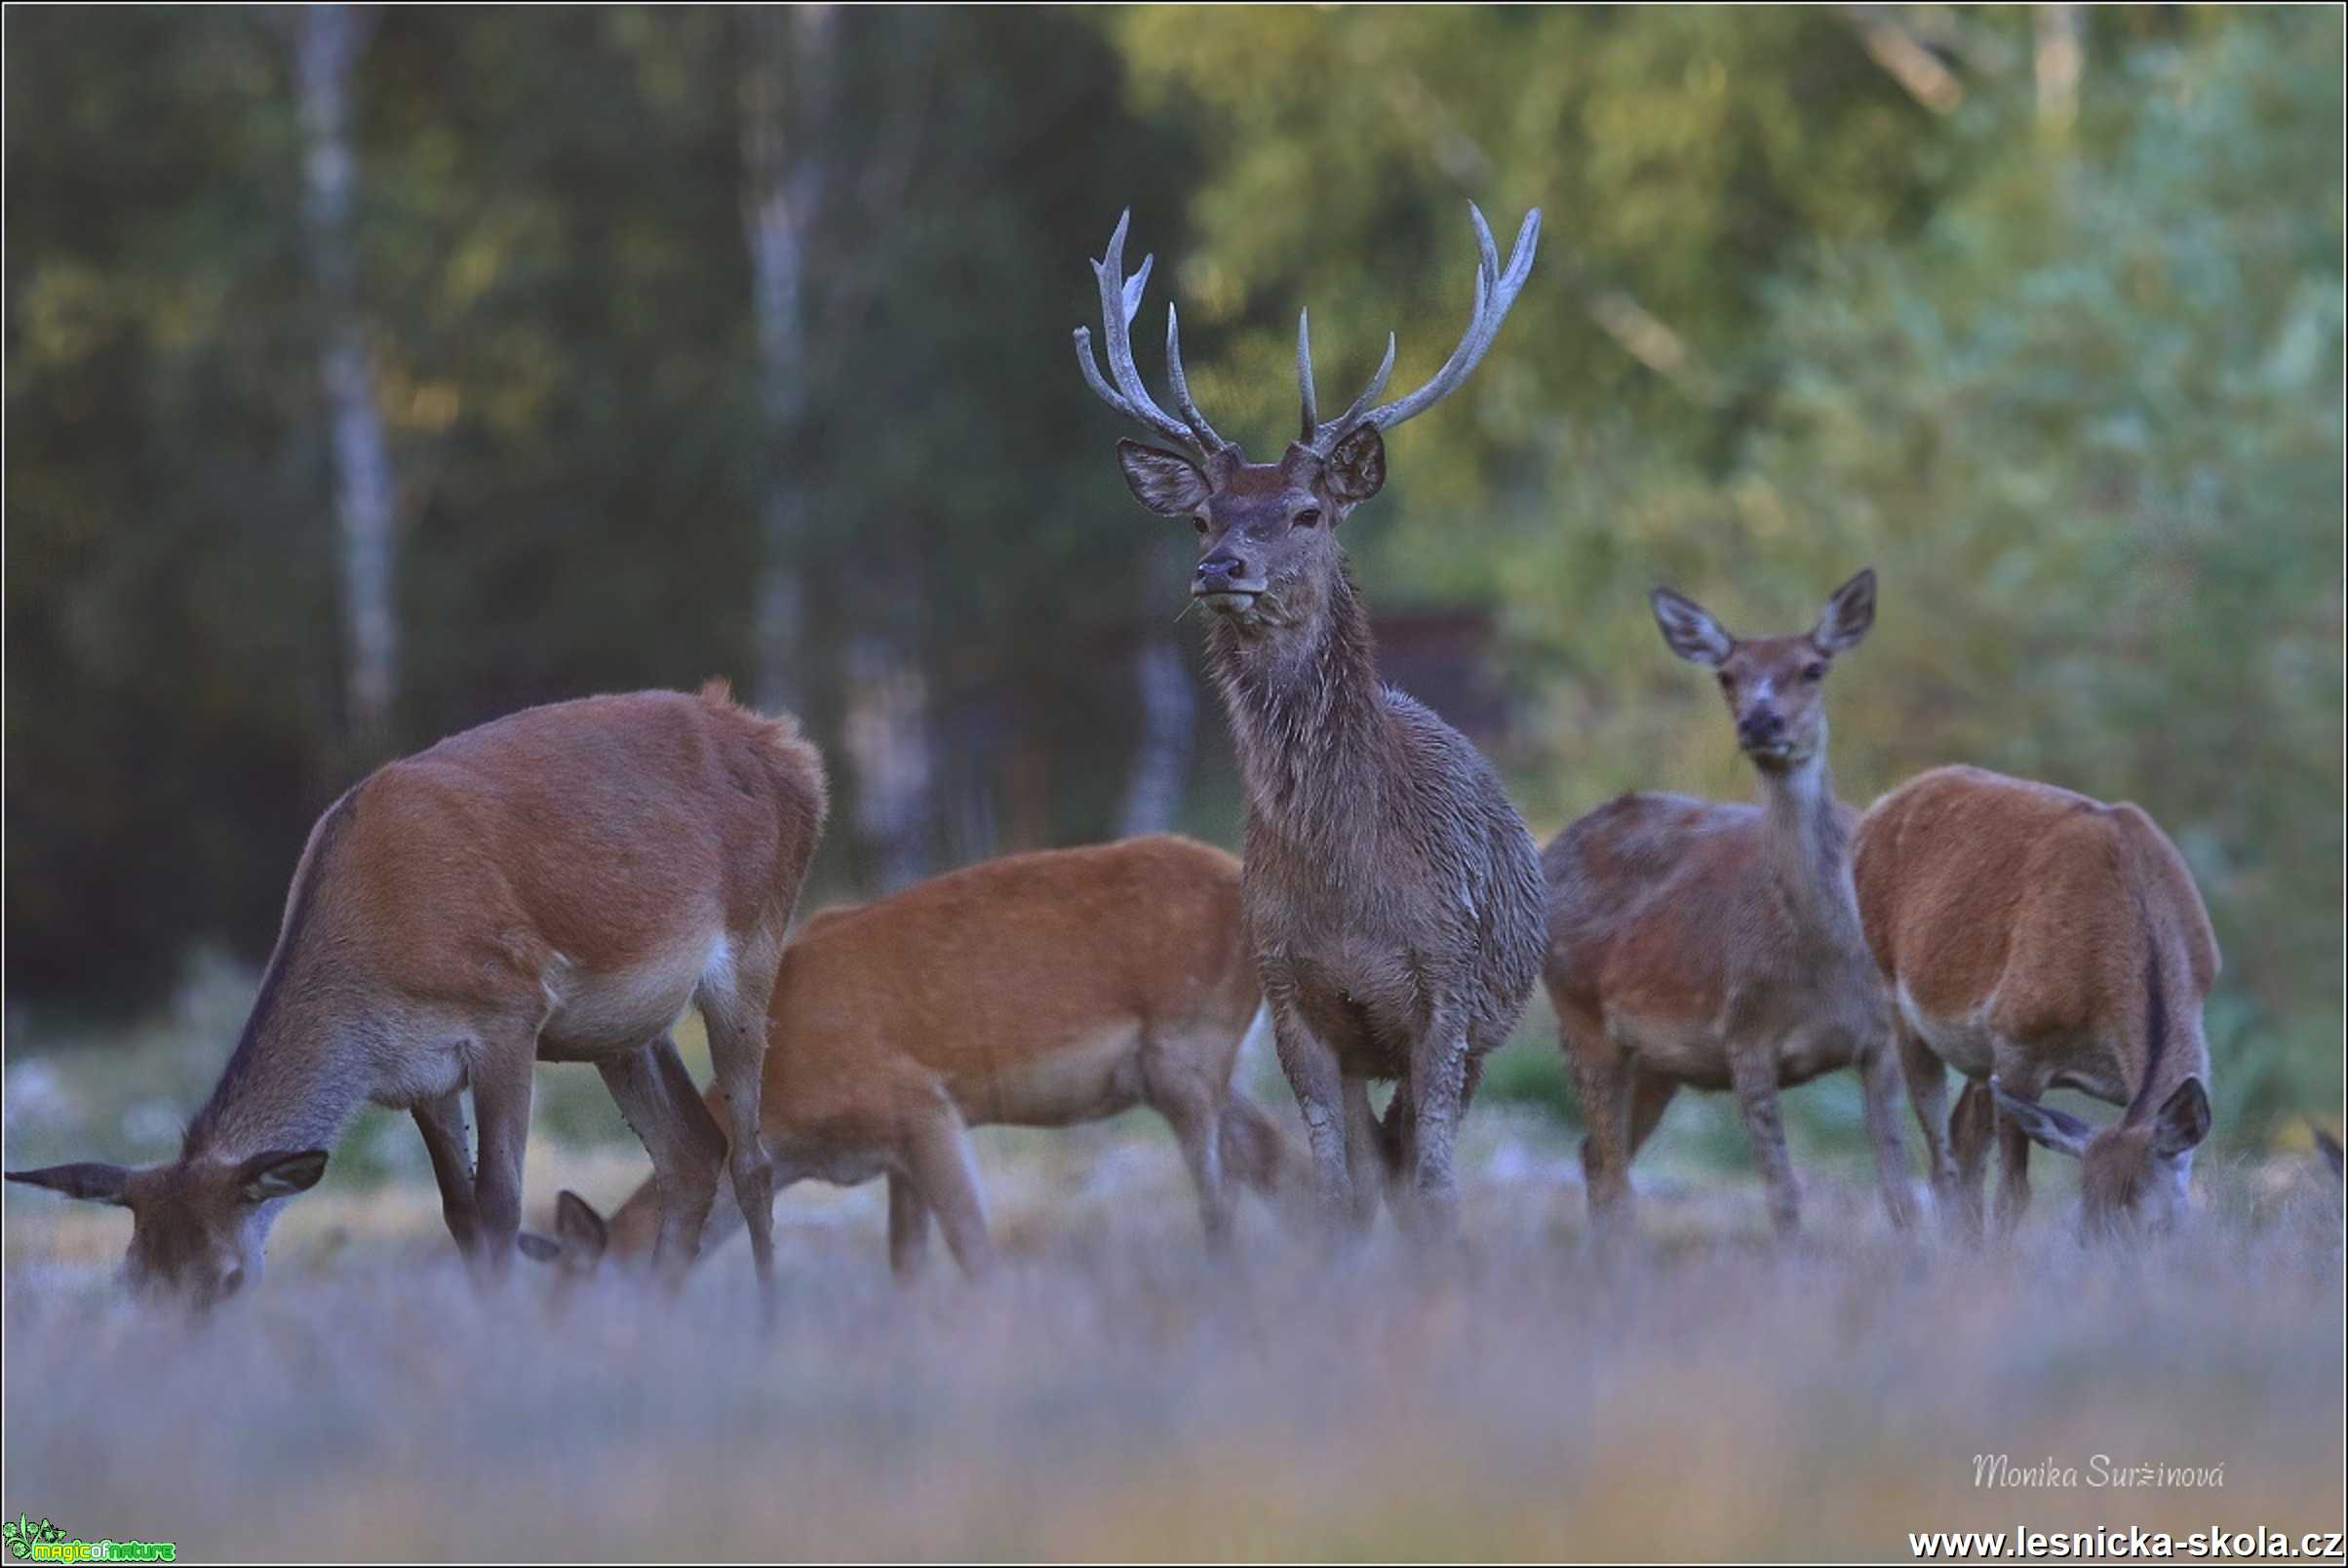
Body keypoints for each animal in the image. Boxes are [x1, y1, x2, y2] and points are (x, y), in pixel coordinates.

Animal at [4, 685, 826, 1314]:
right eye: (131, 1280)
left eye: (229, 1280)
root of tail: (795, 753)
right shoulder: (419, 1074)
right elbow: (459, 1216)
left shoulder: (508, 1014)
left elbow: (500, 1203)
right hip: (621, 1032)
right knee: (691, 1150)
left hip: (754, 941)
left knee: (752, 1159)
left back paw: (769, 1316)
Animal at [1075, 202, 1549, 1230]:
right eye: (1203, 516)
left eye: (1305, 512)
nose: (1220, 569)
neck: (1350, 897)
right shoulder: (1291, 994)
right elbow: (1338, 1189)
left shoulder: (1447, 988)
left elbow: (1436, 1183)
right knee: (1377, 1165)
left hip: (1489, 1023)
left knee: (1415, 1160)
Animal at [1549, 566, 1915, 1238]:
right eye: (1727, 675)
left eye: (1813, 667)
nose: (1761, 723)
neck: (1829, 969)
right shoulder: (1744, 1033)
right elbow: (1783, 1194)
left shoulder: (1883, 1039)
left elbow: (1900, 1193)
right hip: (1578, 1014)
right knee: (1611, 1171)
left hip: (1658, 1060)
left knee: (1596, 1158)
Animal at [1850, 764, 2216, 1230]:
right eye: (2084, 1223)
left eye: (2160, 1223)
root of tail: (1876, 810)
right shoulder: (2018, 1040)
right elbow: (2014, 1194)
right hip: (1897, 1001)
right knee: (1941, 1161)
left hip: (1976, 1053)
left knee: (1963, 1137)